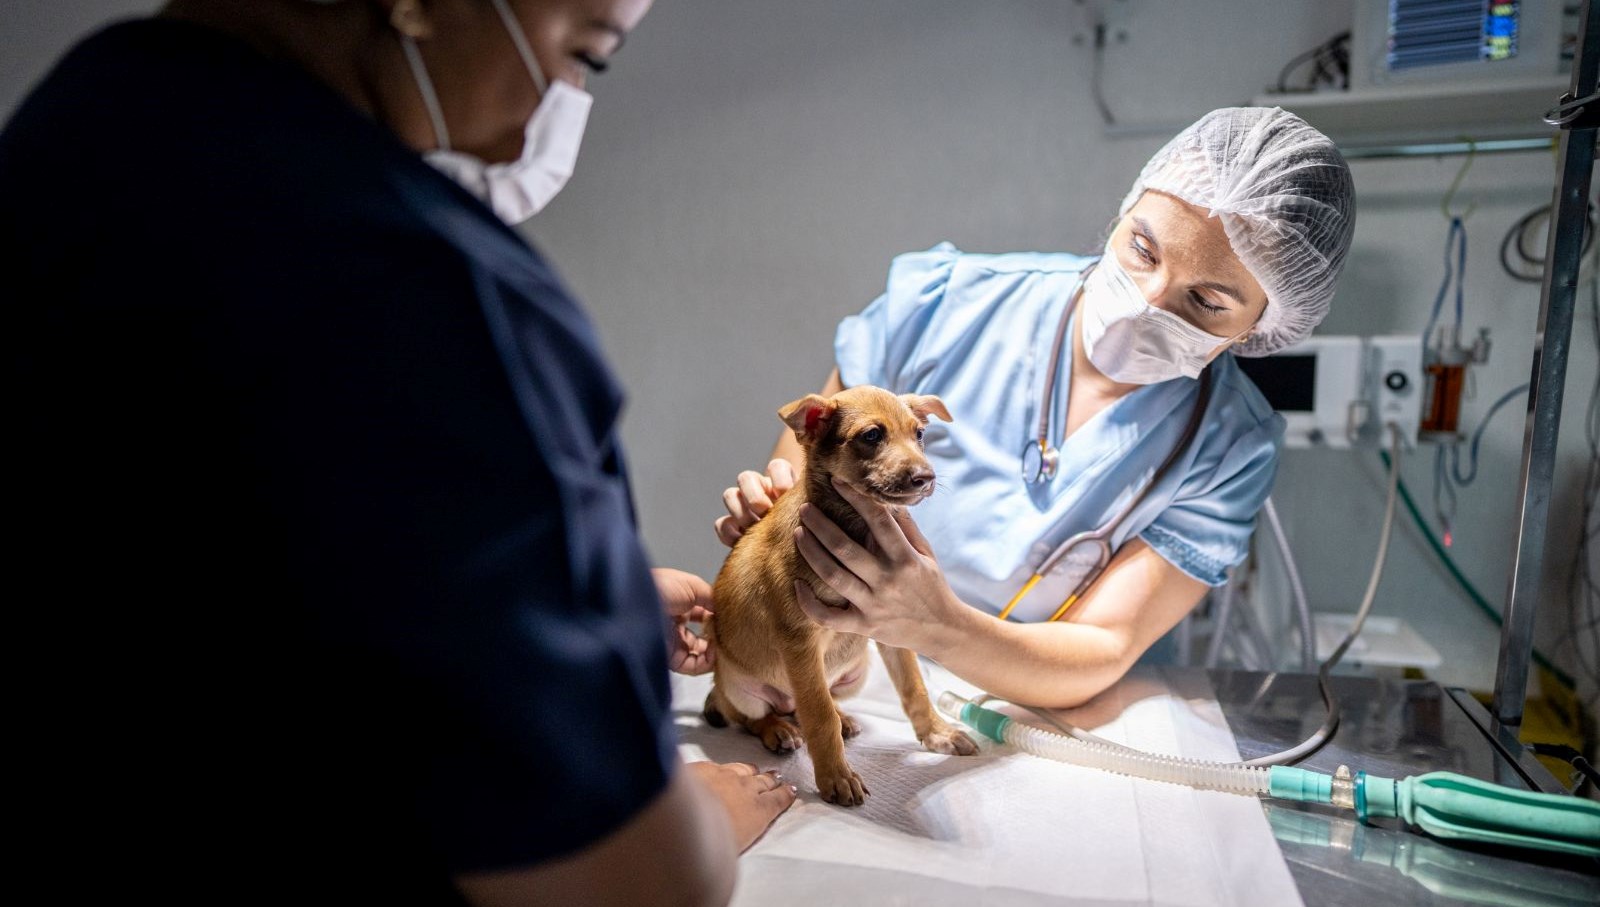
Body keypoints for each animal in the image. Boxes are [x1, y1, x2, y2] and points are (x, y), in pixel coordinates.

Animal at [710, 382, 979, 803]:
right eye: (871, 436)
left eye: (919, 434)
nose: (926, 476)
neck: (858, 527)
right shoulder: (800, 639)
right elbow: (818, 717)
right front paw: (835, 776)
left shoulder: (894, 631)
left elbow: (914, 688)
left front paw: (939, 734)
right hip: (740, 690)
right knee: (757, 717)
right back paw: (778, 729)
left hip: (857, 671)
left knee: (819, 702)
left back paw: (843, 717)